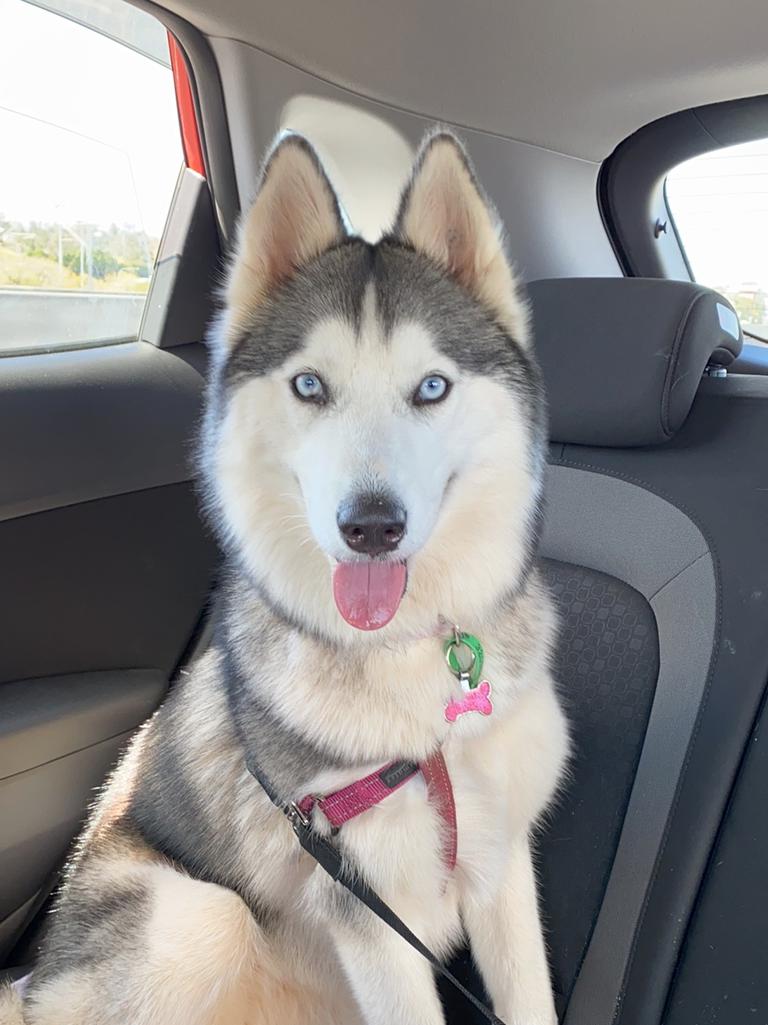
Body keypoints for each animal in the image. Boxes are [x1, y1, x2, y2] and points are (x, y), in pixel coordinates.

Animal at [1, 130, 570, 1025]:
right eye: (309, 385)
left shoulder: (501, 864)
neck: (420, 693)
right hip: (201, 916)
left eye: (431, 387)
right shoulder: (367, 907)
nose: (370, 525)